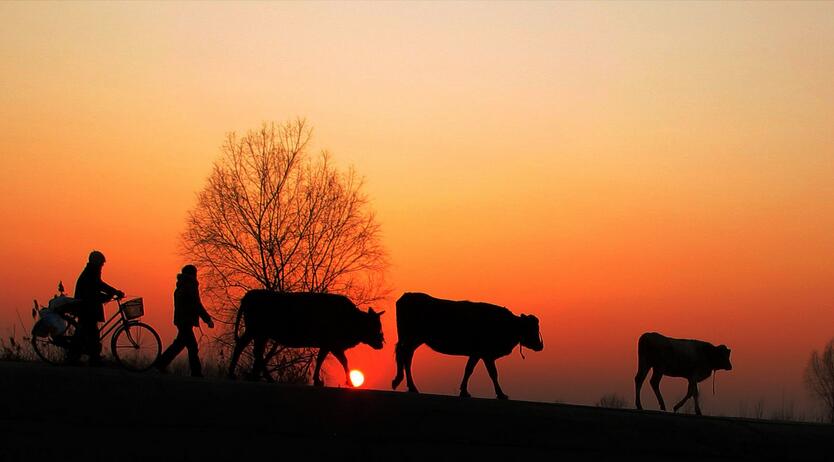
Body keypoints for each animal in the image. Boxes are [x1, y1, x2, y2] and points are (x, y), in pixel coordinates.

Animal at [228, 292, 384, 386]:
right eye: (375, 326)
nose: (381, 342)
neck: (351, 318)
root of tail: (249, 295)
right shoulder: (333, 344)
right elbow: (343, 361)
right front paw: (349, 382)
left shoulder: (327, 345)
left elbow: (321, 359)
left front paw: (317, 380)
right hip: (255, 331)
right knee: (244, 347)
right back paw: (238, 375)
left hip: (260, 334)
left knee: (255, 352)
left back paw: (256, 377)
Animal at [388, 294, 544, 398]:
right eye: (531, 328)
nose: (540, 345)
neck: (507, 325)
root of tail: (406, 296)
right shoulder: (486, 354)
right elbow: (493, 374)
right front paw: (501, 394)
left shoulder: (476, 354)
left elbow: (468, 370)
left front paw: (464, 391)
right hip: (412, 338)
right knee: (405, 357)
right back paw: (410, 386)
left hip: (414, 340)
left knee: (406, 357)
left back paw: (407, 384)